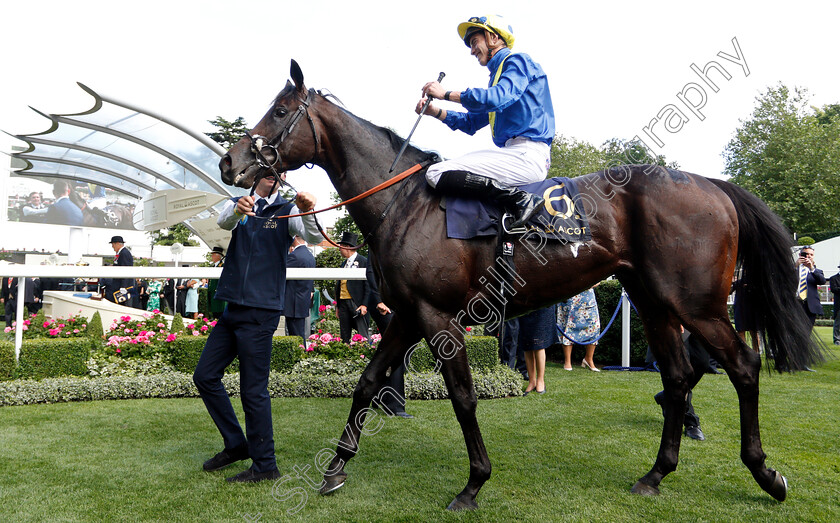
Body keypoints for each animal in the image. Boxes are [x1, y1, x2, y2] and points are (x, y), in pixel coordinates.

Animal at [217, 61, 820, 512]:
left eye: (279, 111)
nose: (229, 161)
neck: (404, 202)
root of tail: (712, 183)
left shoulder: (438, 318)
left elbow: (463, 397)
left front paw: (473, 483)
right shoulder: (408, 315)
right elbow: (366, 384)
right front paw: (336, 468)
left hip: (698, 305)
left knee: (742, 366)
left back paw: (766, 474)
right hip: (655, 303)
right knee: (677, 377)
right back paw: (656, 474)